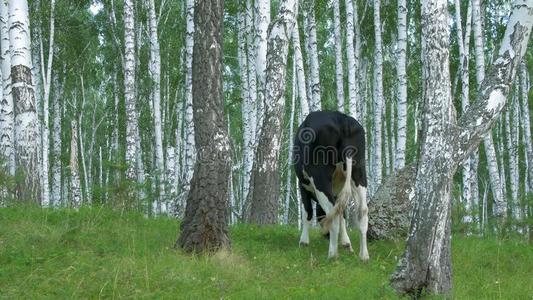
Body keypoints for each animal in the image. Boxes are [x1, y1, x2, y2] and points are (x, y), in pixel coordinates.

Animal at [294, 110, 368, 260]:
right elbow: (342, 214)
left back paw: (332, 255)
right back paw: (364, 256)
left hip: (319, 177)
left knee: (331, 212)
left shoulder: (302, 185)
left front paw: (303, 242)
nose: (325, 236)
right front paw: (346, 244)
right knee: (362, 210)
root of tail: (341, 118)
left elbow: (307, 212)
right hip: (359, 172)